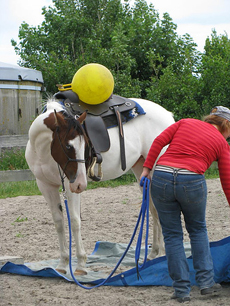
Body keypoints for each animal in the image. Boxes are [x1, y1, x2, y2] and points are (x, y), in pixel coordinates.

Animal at [25, 97, 174, 274]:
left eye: (85, 146)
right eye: (68, 146)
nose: (81, 184)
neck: (42, 150)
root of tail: (168, 115)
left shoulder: (70, 185)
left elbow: (74, 221)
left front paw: (80, 265)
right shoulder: (45, 185)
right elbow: (59, 222)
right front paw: (62, 264)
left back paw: (163, 254)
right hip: (142, 170)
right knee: (153, 209)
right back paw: (154, 253)